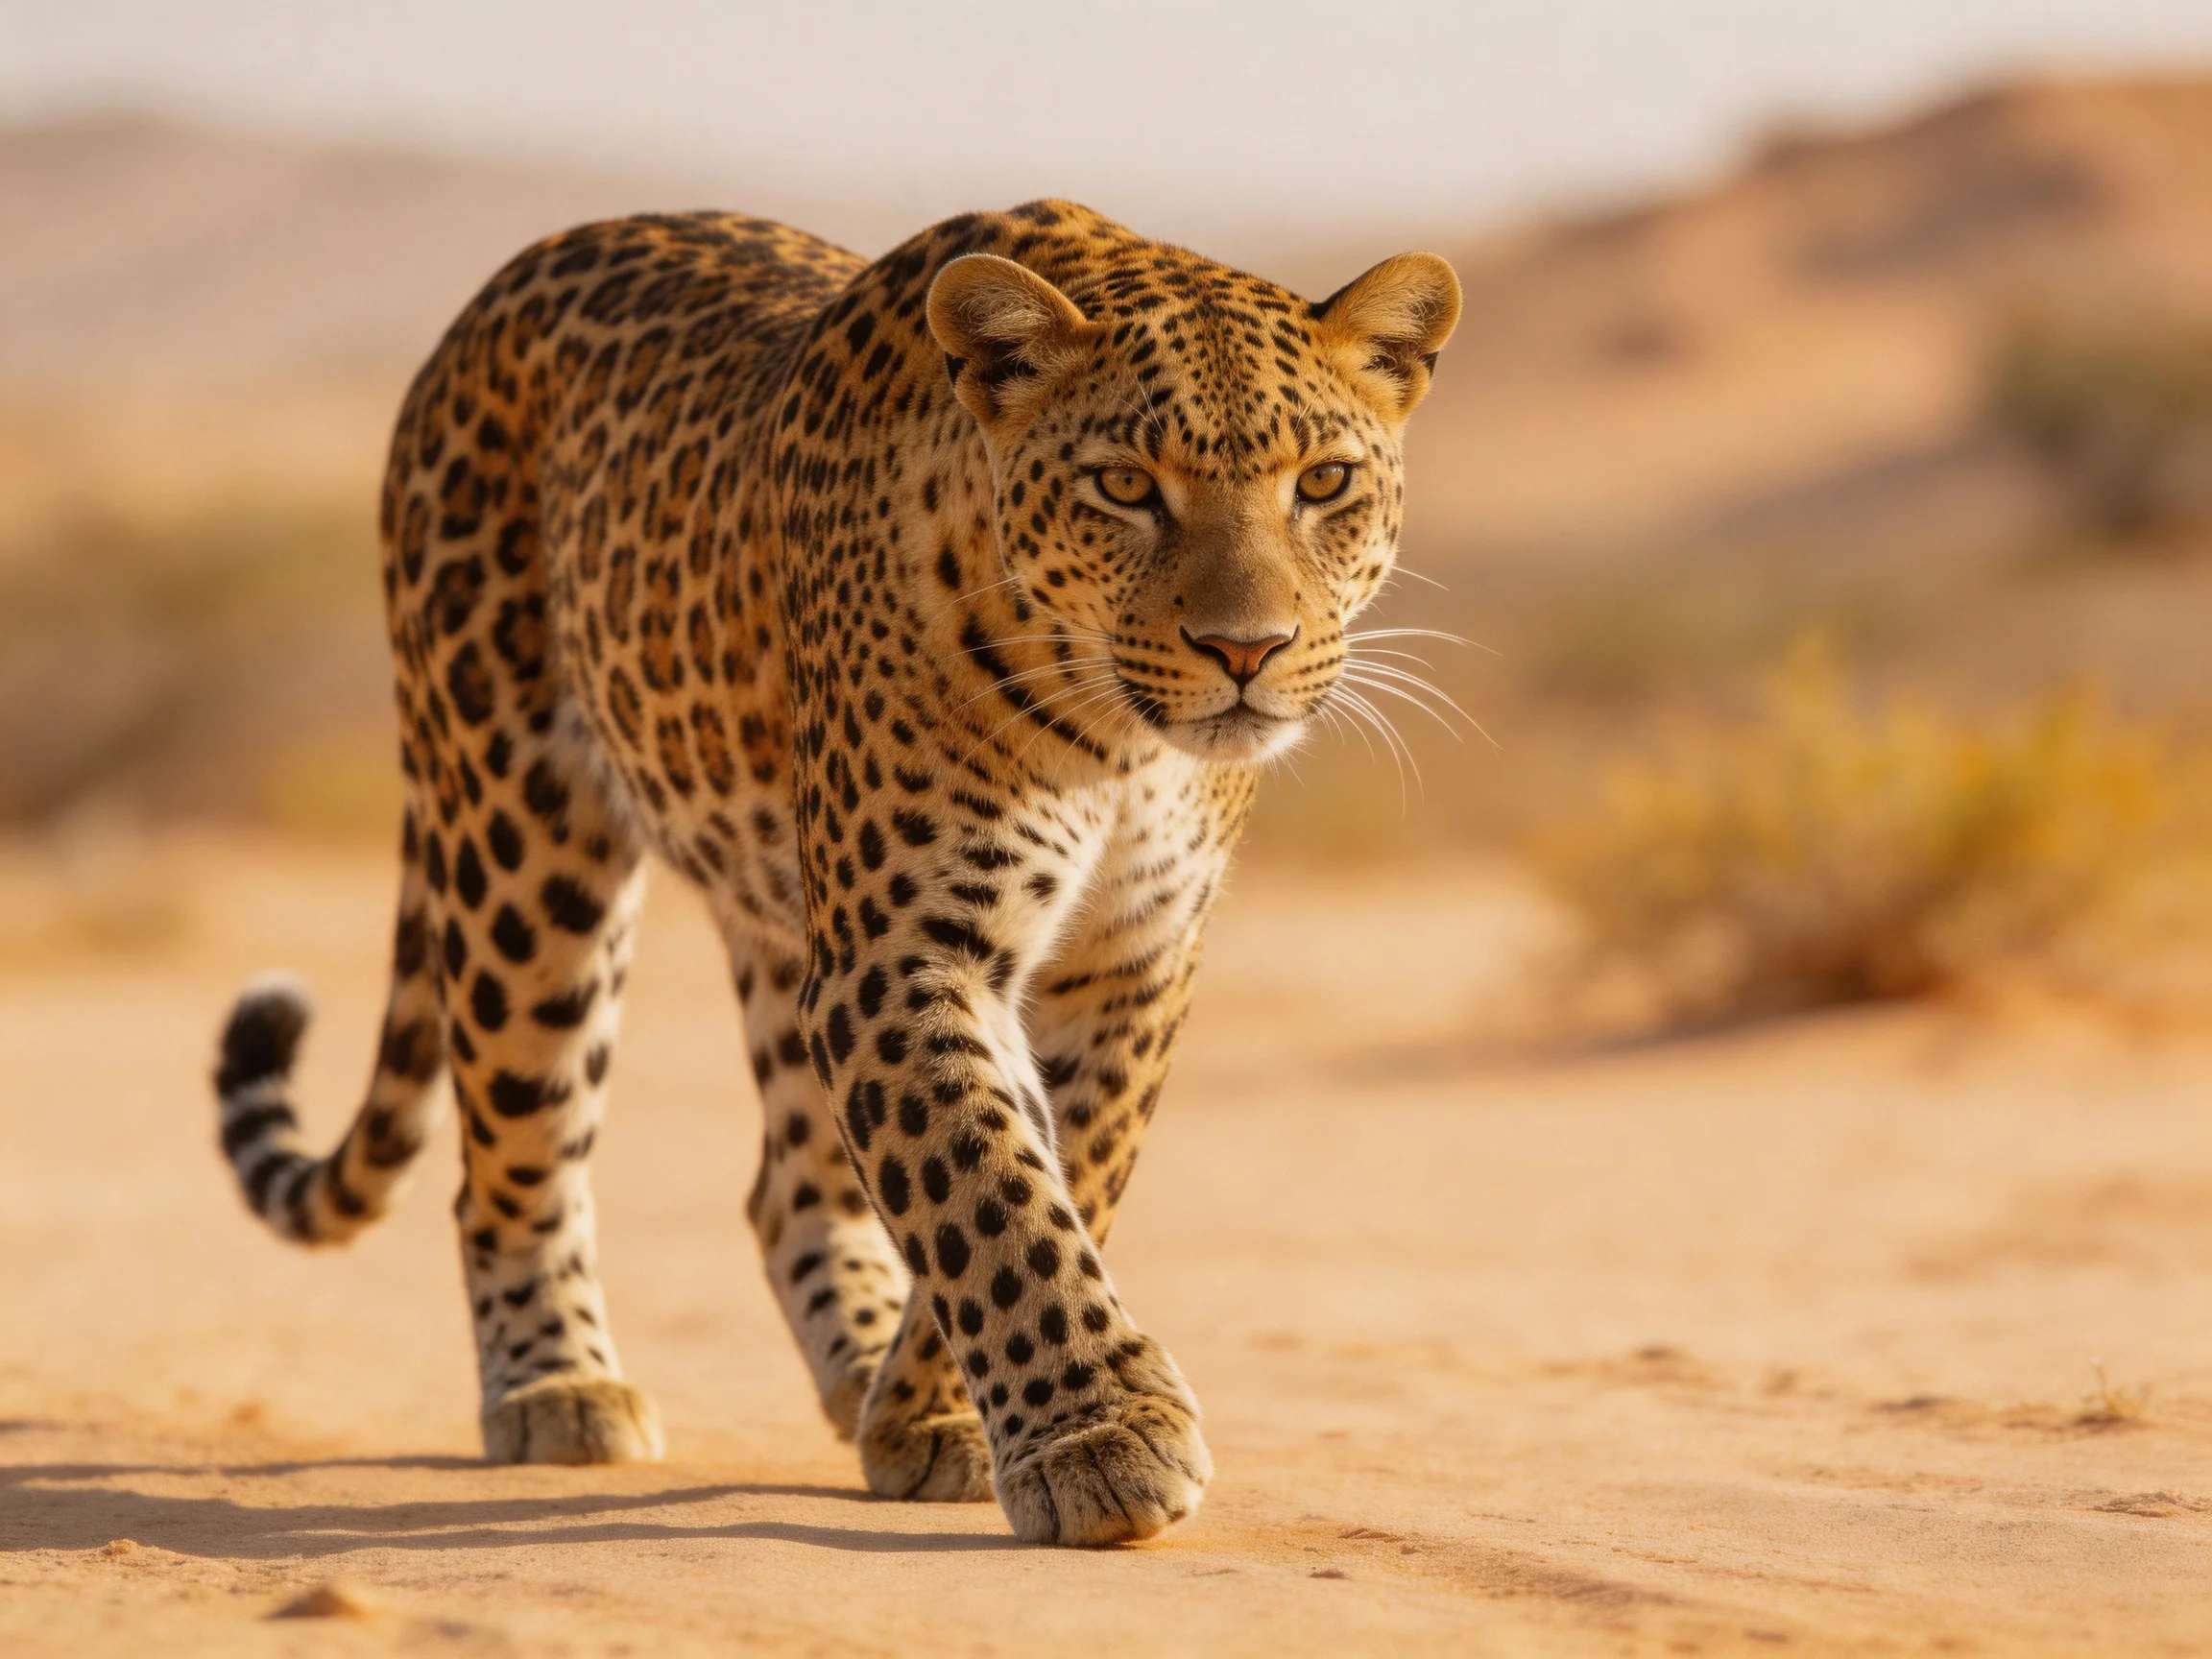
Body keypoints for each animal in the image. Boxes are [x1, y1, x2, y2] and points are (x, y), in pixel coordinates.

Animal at [209, 198, 1459, 1546]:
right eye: (1126, 486)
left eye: (1323, 483)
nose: (1246, 649)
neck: (1119, 745)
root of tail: (511, 278)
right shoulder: (902, 953)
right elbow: (986, 1191)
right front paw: (1097, 1437)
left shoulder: (1130, 961)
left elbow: (1052, 1172)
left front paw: (933, 1413)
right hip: (518, 842)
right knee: (514, 1152)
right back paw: (559, 1387)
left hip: (775, 907)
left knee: (786, 1186)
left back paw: (856, 1370)